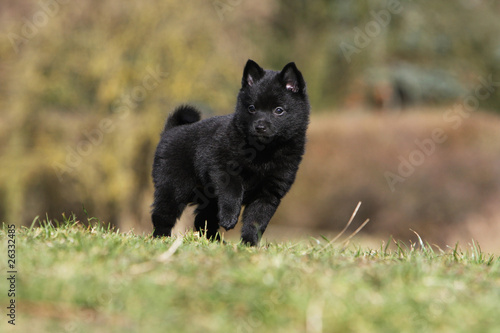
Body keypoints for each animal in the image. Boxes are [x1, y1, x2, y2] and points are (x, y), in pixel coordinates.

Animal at [150, 59, 310, 245]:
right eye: (251, 108)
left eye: (279, 110)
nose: (260, 126)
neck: (263, 152)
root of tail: (170, 130)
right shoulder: (224, 170)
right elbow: (232, 193)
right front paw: (229, 218)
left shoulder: (268, 192)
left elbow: (256, 221)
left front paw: (249, 244)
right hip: (174, 187)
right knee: (162, 215)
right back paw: (161, 237)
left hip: (207, 198)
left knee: (202, 220)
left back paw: (217, 242)